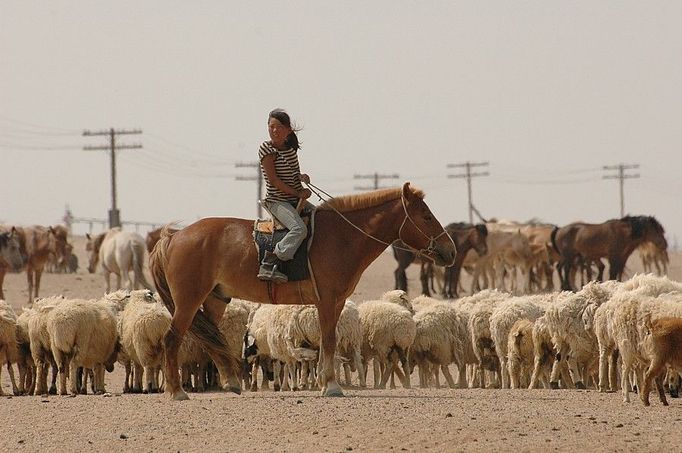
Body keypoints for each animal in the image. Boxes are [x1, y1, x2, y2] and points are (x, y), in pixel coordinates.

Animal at [151, 182, 454, 400]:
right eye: (426, 216)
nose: (450, 250)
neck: (341, 236)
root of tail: (174, 236)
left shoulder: (336, 303)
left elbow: (327, 343)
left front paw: (323, 382)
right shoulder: (327, 301)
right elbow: (329, 341)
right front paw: (331, 386)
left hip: (215, 299)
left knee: (210, 339)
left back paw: (231, 383)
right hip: (188, 301)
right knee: (171, 339)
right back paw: (176, 392)